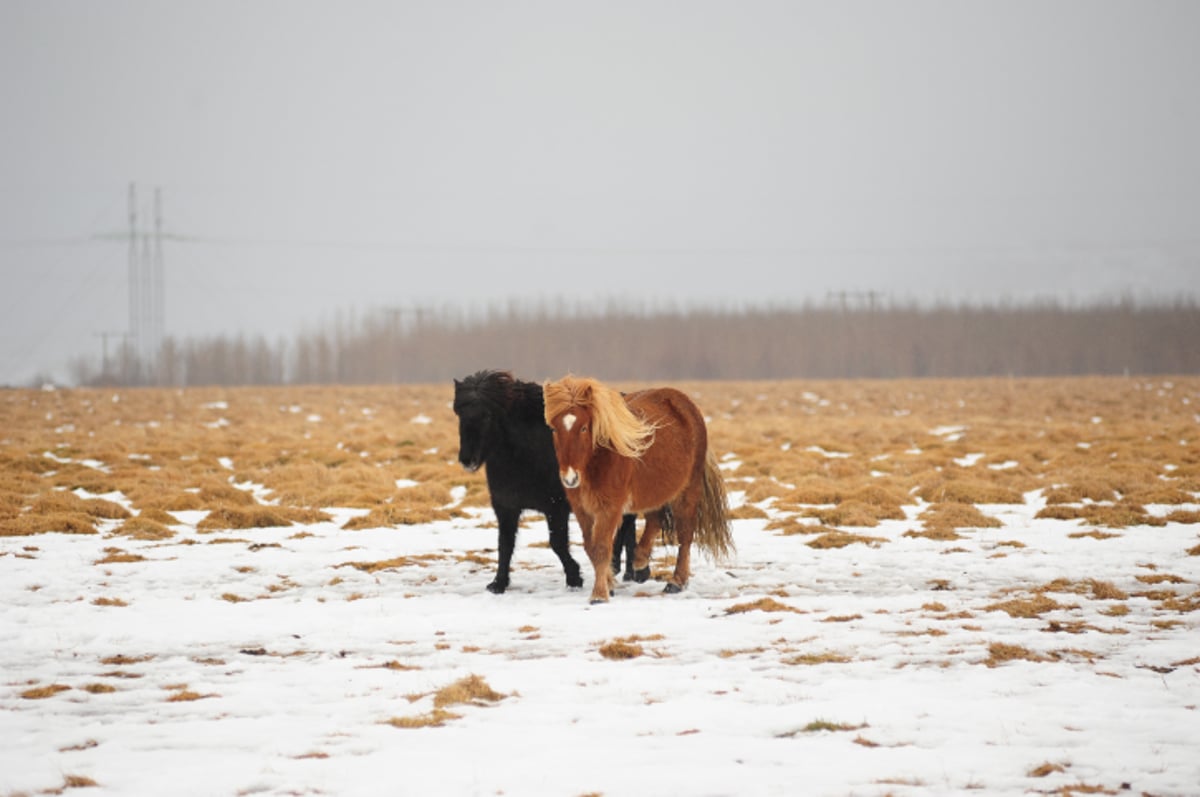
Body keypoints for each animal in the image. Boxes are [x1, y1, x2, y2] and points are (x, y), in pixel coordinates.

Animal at [451, 369, 638, 595]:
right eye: (459, 414)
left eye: (487, 415)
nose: (467, 459)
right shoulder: (506, 507)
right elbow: (505, 544)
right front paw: (498, 583)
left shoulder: (556, 507)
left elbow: (557, 543)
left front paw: (574, 577)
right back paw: (627, 572)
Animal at [542, 374, 729, 604]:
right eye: (554, 428)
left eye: (584, 427)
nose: (570, 478)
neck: (597, 461)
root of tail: (687, 404)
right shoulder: (581, 509)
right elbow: (591, 548)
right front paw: (609, 584)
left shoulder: (610, 507)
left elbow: (601, 547)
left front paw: (599, 594)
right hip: (656, 490)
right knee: (654, 520)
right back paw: (640, 565)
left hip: (687, 492)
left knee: (685, 536)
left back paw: (677, 582)